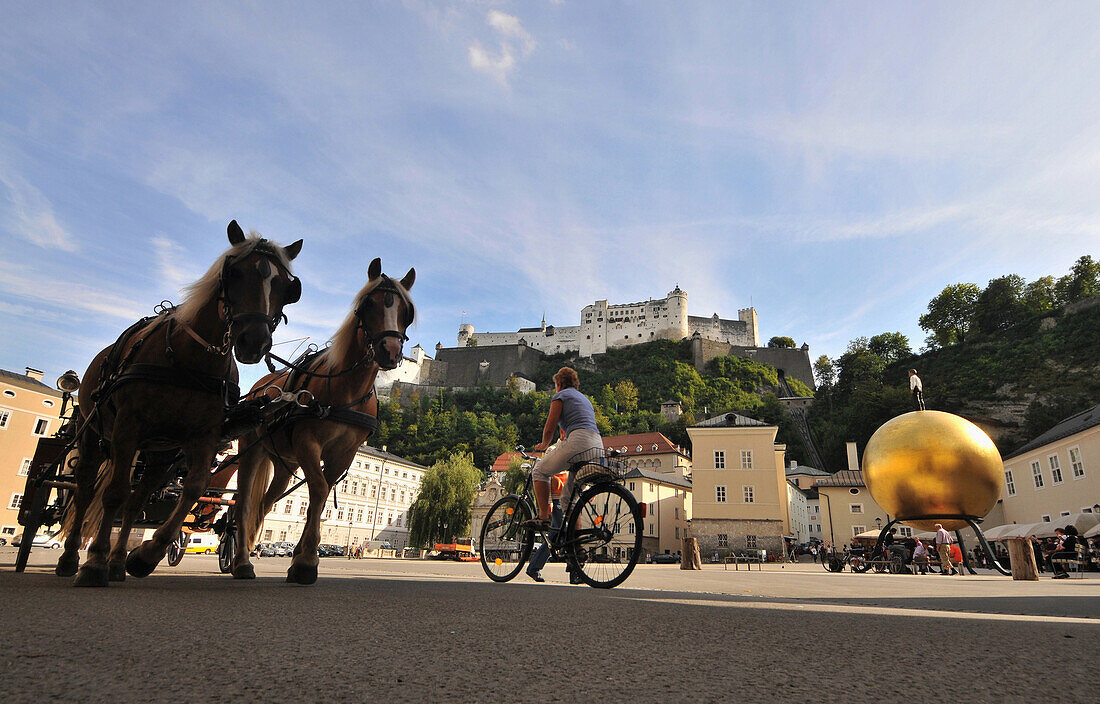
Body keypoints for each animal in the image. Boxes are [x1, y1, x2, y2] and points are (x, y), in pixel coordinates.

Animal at [59, 222, 301, 585]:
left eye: (287, 287)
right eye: (234, 272)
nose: (254, 341)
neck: (189, 361)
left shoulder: (202, 436)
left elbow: (192, 489)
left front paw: (145, 556)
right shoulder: (127, 427)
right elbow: (113, 493)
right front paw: (95, 562)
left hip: (160, 452)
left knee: (137, 501)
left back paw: (117, 563)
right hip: (94, 433)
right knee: (87, 489)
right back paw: (73, 558)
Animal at [229, 255, 413, 585]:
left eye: (406, 312)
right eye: (368, 304)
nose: (390, 351)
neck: (347, 389)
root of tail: (262, 385)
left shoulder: (344, 453)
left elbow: (323, 493)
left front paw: (303, 558)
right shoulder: (308, 443)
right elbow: (317, 488)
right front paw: (305, 562)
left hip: (284, 465)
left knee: (265, 502)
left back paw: (251, 548)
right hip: (252, 450)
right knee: (245, 502)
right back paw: (242, 562)